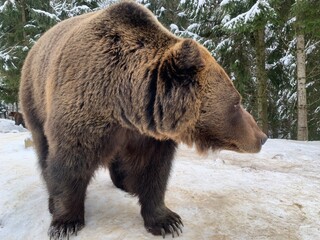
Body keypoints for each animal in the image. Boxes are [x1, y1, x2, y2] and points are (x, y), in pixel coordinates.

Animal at [18, 0, 268, 239]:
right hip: (35, 100)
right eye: (236, 102)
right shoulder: (83, 112)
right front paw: (65, 222)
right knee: (43, 149)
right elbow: (69, 165)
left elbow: (154, 171)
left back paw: (125, 183)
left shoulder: (149, 135)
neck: (125, 104)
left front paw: (167, 221)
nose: (262, 136)